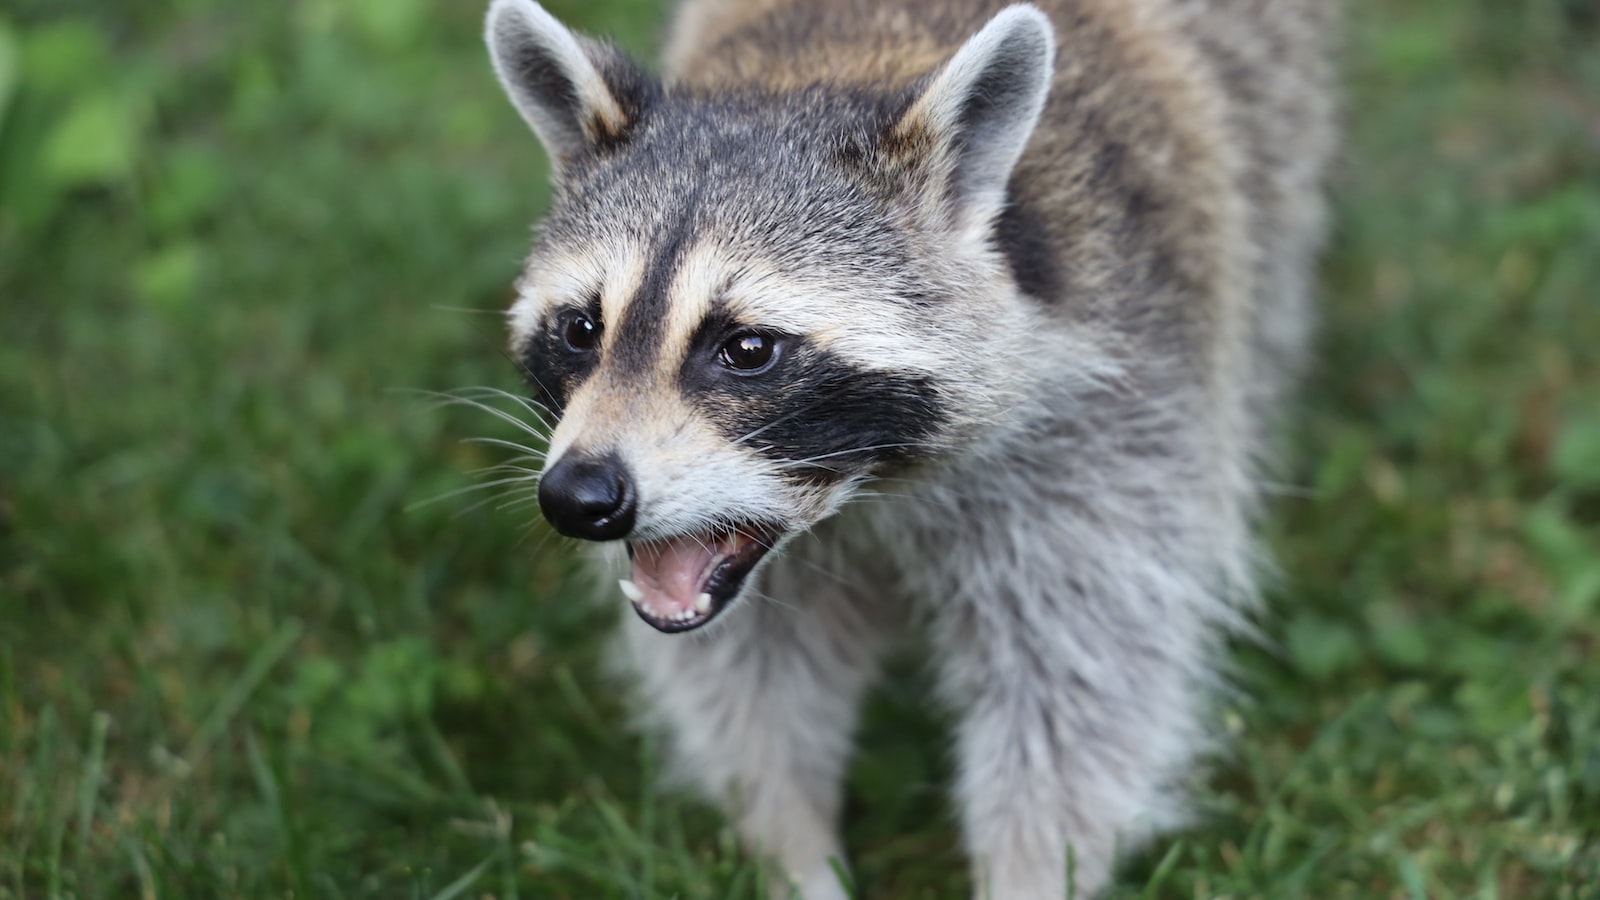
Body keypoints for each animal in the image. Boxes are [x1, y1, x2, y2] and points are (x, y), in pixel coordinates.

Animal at [480, 1, 1331, 890]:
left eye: (747, 349)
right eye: (581, 330)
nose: (579, 498)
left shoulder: (1115, 417)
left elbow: (1084, 683)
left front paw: (1030, 872)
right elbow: (750, 682)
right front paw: (792, 849)